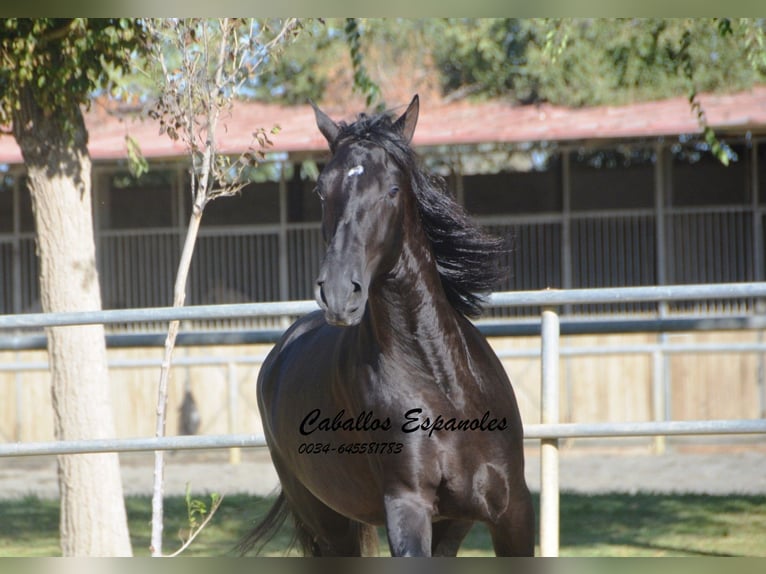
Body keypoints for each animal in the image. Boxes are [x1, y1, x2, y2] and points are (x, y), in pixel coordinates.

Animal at [240, 95, 536, 560]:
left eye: (392, 190)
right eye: (321, 190)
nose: (338, 292)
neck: (445, 390)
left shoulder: (513, 512)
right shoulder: (407, 507)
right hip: (327, 523)